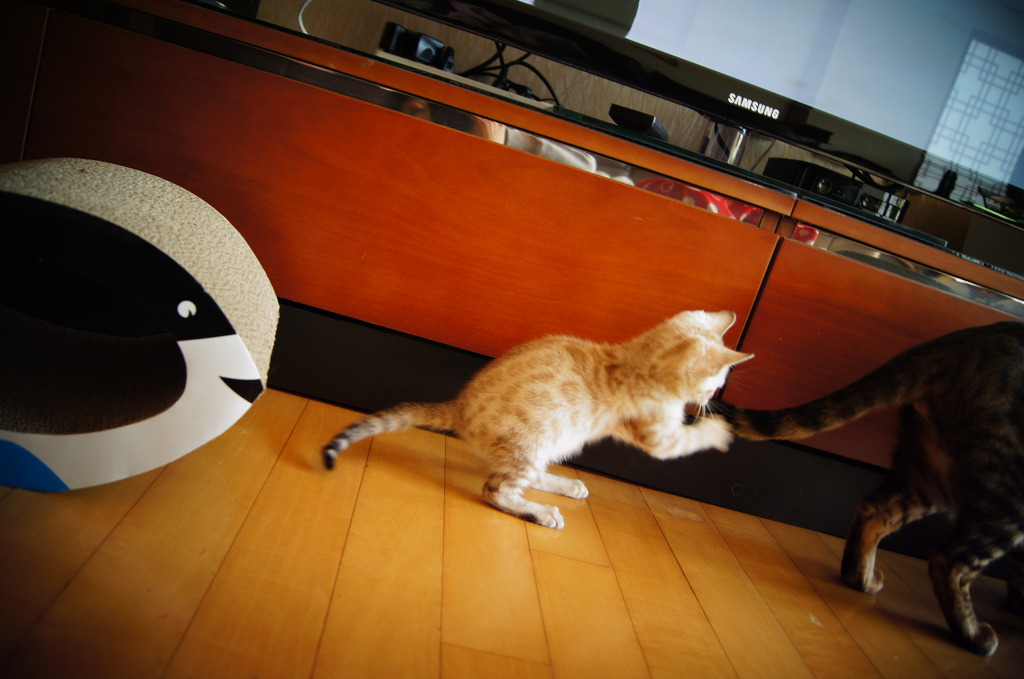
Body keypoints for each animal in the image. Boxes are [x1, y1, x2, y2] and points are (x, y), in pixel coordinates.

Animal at [323, 310, 752, 529]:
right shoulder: (659, 436)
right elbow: (686, 440)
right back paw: (541, 512)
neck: (634, 359)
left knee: (526, 476)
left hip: (552, 440)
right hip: (535, 437)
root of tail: (460, 408)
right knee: (496, 490)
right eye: (717, 385)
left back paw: (565, 485)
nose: (710, 401)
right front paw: (721, 431)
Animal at [714, 321, 1024, 656]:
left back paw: (860, 580)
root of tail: (963, 341)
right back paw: (973, 635)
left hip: (928, 469)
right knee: (948, 560)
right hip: (1003, 495)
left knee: (876, 512)